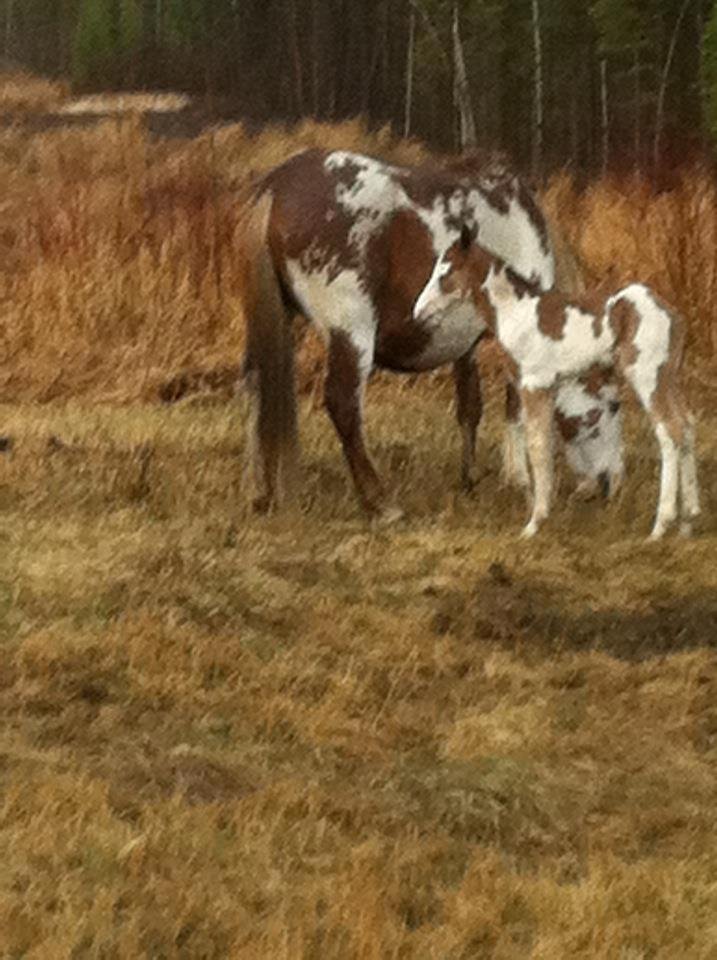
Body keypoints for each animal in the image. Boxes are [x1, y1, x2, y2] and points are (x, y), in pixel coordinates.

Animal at [238, 148, 624, 518]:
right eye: (610, 407)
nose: (606, 485)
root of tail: (278, 186)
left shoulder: (464, 342)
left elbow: (470, 407)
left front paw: (471, 477)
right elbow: (516, 404)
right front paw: (519, 477)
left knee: (255, 391)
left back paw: (260, 494)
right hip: (351, 331)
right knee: (343, 404)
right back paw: (380, 503)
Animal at [413, 225, 700, 539]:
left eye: (445, 272)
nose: (418, 312)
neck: (516, 312)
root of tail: (673, 315)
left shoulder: (534, 384)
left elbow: (537, 445)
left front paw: (534, 522)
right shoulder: (545, 387)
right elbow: (543, 442)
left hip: (648, 377)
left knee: (669, 431)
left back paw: (661, 525)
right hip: (669, 377)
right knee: (686, 426)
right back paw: (688, 520)